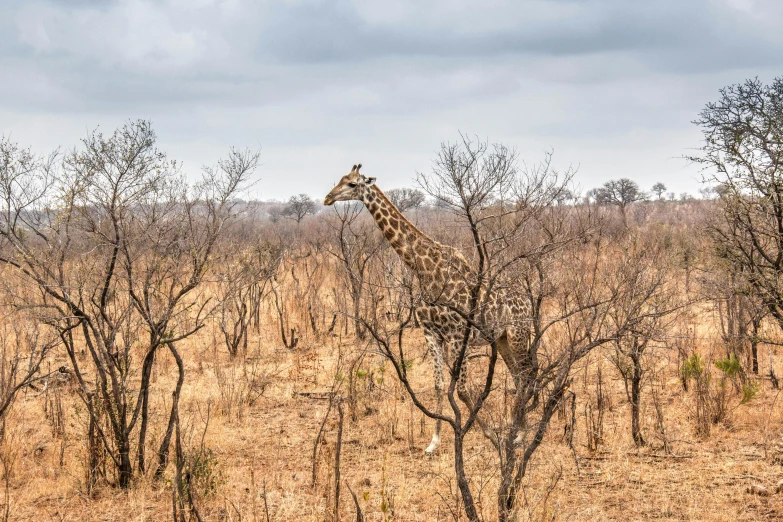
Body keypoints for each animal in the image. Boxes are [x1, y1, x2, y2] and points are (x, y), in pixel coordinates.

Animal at [324, 162, 532, 450]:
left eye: (352, 184)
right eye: (341, 179)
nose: (328, 198)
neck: (423, 269)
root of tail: (527, 301)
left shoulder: (457, 335)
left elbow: (462, 389)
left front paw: (490, 435)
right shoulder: (430, 332)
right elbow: (438, 385)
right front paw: (434, 442)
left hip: (518, 334)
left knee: (525, 376)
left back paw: (518, 434)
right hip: (501, 339)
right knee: (518, 376)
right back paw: (518, 430)